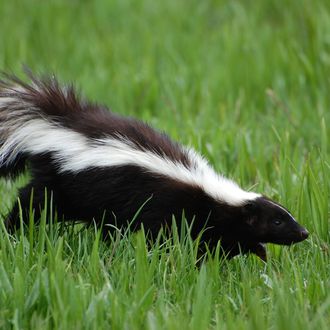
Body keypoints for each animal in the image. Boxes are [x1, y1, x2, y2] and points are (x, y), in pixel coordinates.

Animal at [0, 71, 310, 260]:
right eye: (278, 221)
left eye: (286, 215)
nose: (304, 233)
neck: (212, 193)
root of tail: (58, 124)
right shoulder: (169, 208)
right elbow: (168, 237)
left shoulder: (217, 224)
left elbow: (222, 242)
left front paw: (258, 251)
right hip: (63, 183)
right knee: (33, 203)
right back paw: (11, 229)